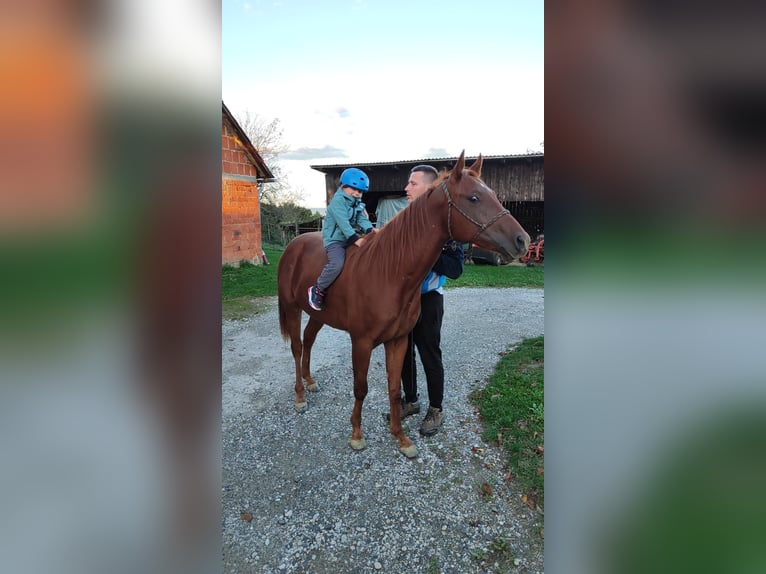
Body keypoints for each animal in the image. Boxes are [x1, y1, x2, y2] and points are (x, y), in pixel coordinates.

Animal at [280, 152, 532, 460]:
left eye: (494, 195)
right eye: (474, 198)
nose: (522, 240)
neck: (389, 270)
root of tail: (295, 243)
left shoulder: (398, 340)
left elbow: (393, 388)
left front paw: (401, 438)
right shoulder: (361, 342)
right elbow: (361, 388)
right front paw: (357, 435)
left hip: (318, 314)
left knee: (309, 340)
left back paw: (310, 381)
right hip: (292, 308)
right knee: (296, 347)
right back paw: (300, 396)